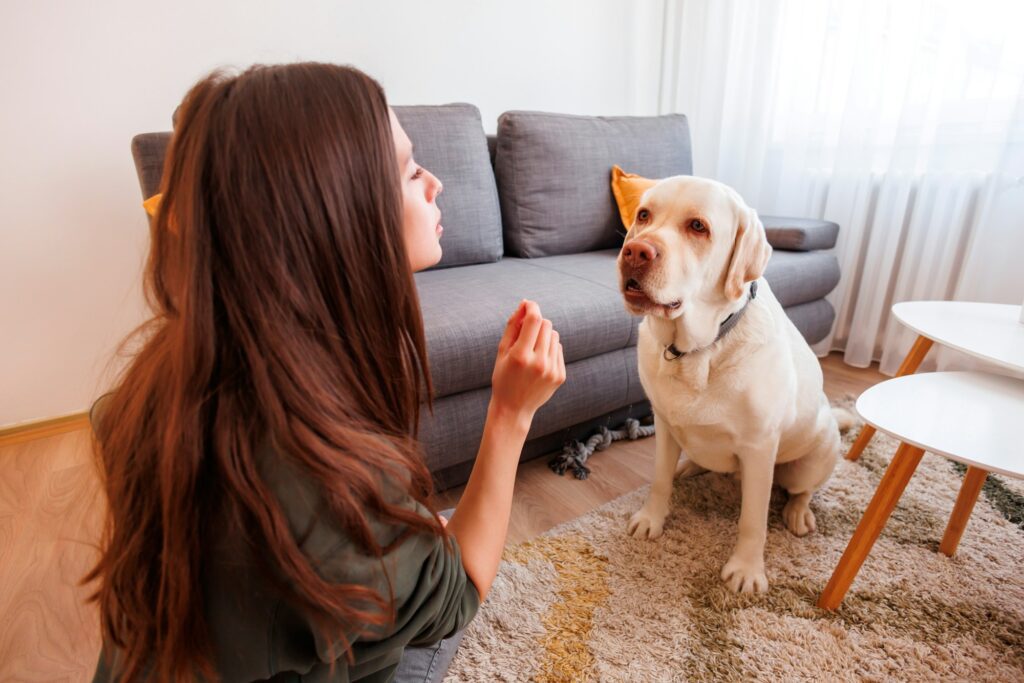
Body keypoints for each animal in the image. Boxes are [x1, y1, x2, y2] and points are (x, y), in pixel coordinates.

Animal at [614, 175, 847, 593]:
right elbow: (658, 481)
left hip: (814, 453)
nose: (635, 251)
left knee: (802, 490)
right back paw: (688, 467)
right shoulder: (664, 424)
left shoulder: (759, 448)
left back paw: (798, 514)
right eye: (643, 215)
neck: (697, 350)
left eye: (697, 226)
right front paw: (652, 518)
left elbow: (753, 519)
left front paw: (747, 569)